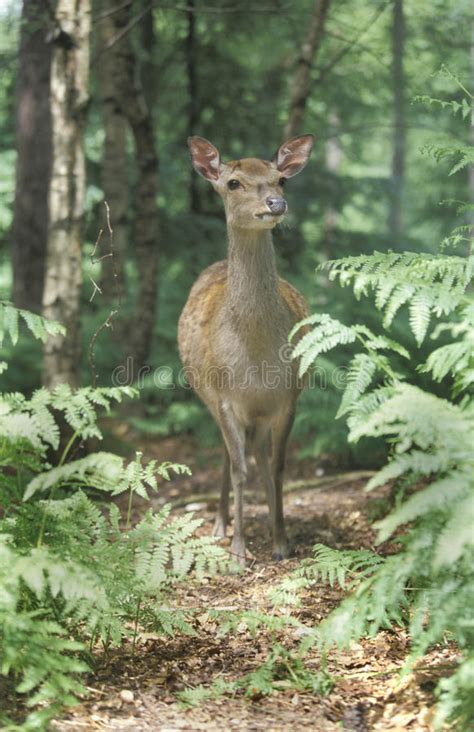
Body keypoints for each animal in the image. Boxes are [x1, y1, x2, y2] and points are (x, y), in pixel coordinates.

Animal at [179, 136, 314, 568]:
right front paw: (239, 550)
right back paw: (221, 526)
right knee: (228, 455)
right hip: (207, 395)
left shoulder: (288, 397)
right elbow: (239, 469)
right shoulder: (224, 397)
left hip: (258, 414)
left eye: (281, 179)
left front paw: (282, 542)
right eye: (234, 182)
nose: (276, 203)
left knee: (259, 457)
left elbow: (280, 467)